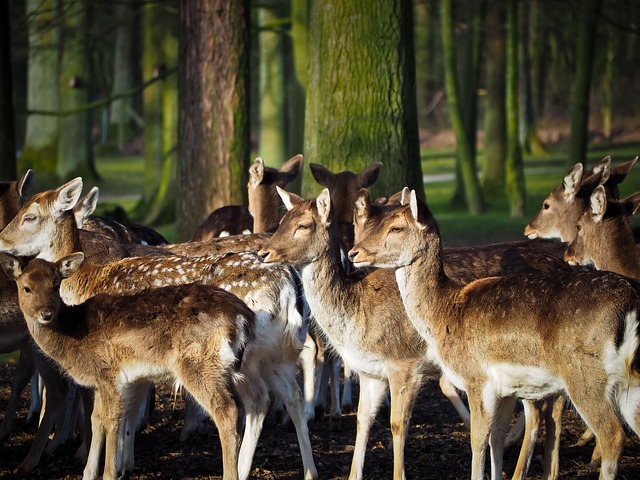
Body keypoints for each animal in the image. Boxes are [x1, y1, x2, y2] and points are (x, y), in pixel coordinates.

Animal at [0, 251, 255, 480]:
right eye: (26, 288)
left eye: (55, 286)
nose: (46, 313)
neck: (74, 338)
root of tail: (243, 317)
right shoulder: (100, 381)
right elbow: (96, 419)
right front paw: (88, 473)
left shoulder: (110, 373)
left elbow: (112, 420)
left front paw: (110, 473)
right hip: (228, 370)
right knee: (243, 408)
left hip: (199, 364)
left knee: (226, 410)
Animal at [255, 187, 470, 480]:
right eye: (281, 222)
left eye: (304, 225)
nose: (263, 253)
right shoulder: (371, 372)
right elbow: (362, 419)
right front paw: (353, 473)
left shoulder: (404, 364)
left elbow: (397, 423)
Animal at [348, 188, 640, 480]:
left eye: (396, 227)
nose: (353, 252)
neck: (444, 312)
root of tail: (631, 302)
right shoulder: (505, 389)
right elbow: (494, 437)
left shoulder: (476, 378)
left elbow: (478, 439)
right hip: (629, 381)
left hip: (585, 377)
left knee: (613, 435)